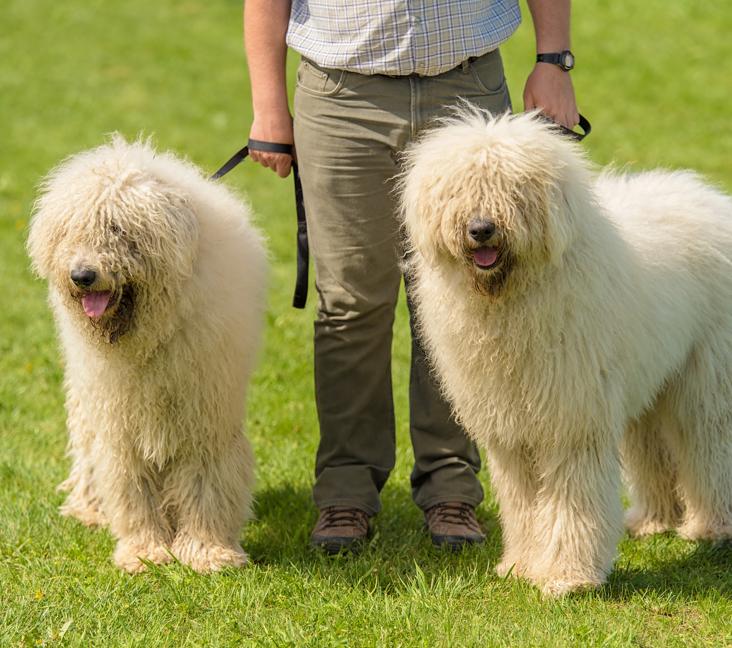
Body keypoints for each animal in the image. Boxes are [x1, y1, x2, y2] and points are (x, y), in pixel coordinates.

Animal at [30, 137, 268, 572]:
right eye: (72, 230)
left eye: (118, 228)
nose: (82, 276)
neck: (150, 335)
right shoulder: (121, 421)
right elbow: (132, 488)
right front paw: (146, 552)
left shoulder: (205, 413)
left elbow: (206, 482)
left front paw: (207, 552)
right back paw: (90, 509)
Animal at [400, 110, 732, 596]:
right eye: (458, 189)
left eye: (513, 189)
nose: (481, 229)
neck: (511, 298)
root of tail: (708, 198)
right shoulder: (511, 431)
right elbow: (522, 504)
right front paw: (520, 566)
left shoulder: (572, 420)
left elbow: (572, 501)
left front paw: (566, 578)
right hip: (649, 380)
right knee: (652, 446)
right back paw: (654, 521)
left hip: (706, 377)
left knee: (709, 445)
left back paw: (712, 528)